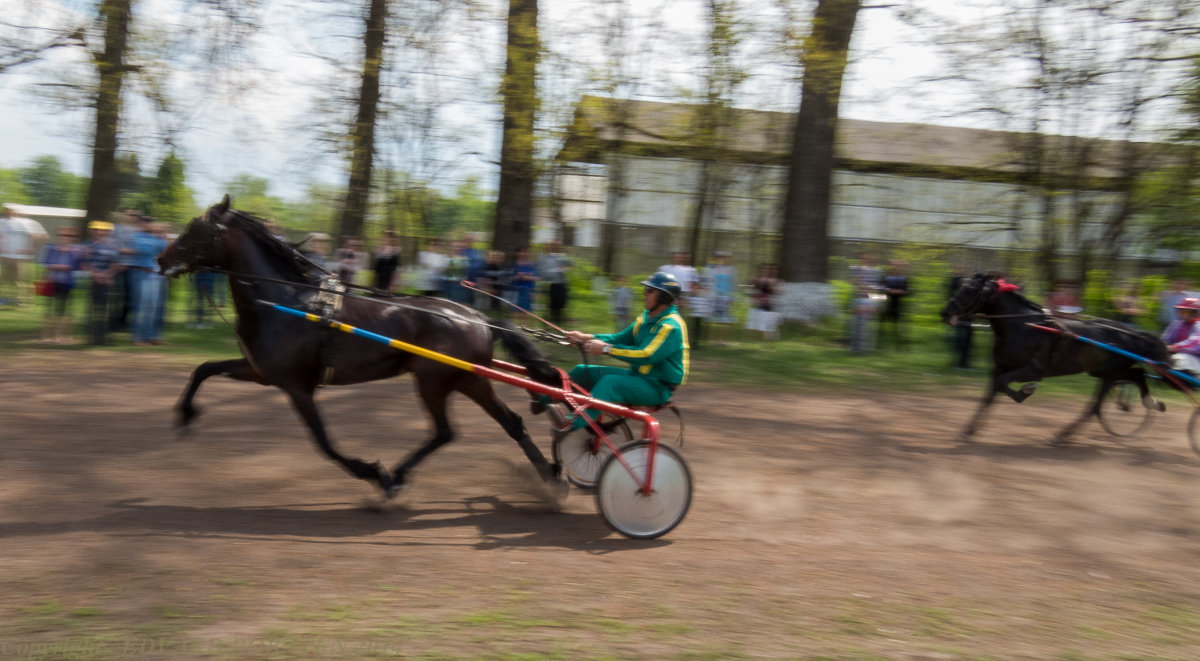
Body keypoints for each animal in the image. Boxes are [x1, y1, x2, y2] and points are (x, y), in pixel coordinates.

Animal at [156, 197, 561, 496]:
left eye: (195, 228)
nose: (162, 259)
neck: (285, 301)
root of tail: (476, 317)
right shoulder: (260, 371)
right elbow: (204, 368)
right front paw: (185, 415)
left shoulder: (297, 386)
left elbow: (323, 442)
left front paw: (370, 470)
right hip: (468, 380)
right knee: (510, 423)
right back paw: (551, 478)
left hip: (434, 381)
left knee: (445, 432)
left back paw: (395, 477)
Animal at [940, 271, 1166, 448]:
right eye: (959, 286)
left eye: (970, 289)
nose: (945, 313)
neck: (1022, 327)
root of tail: (1133, 334)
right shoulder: (1000, 367)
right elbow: (992, 392)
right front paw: (967, 431)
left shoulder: (1033, 370)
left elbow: (1003, 384)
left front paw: (1025, 391)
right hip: (1103, 371)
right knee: (1136, 375)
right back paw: (1152, 403)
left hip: (1110, 373)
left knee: (1096, 406)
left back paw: (1062, 435)